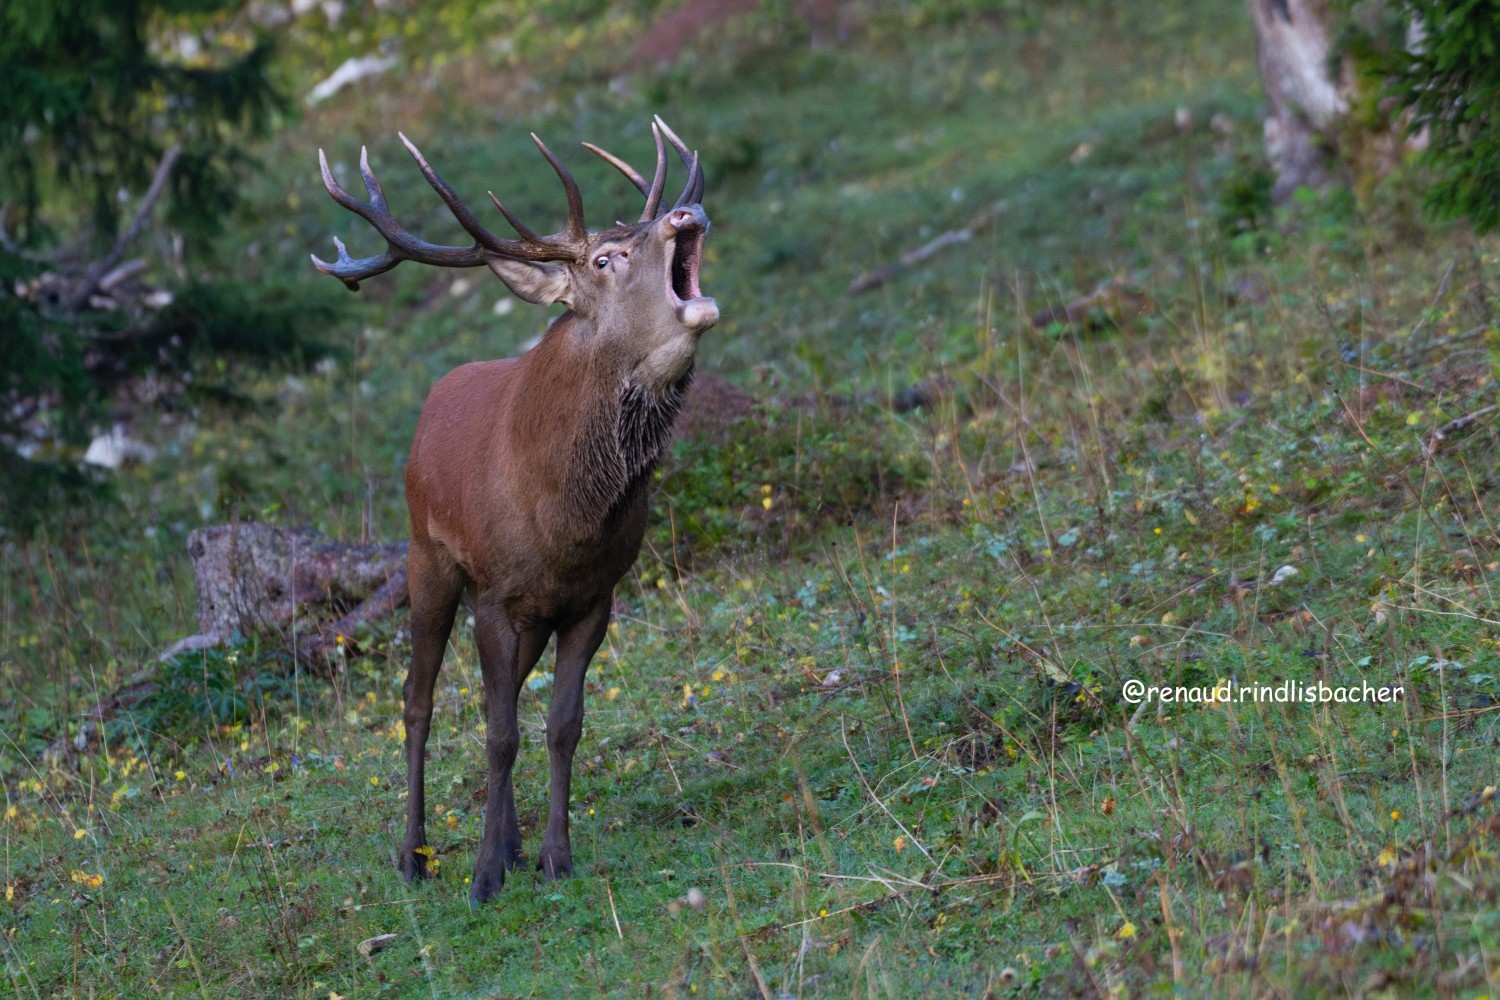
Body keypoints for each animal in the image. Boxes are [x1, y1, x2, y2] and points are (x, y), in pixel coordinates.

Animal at [310, 118, 718, 905]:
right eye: (606, 257)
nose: (687, 214)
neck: (566, 520)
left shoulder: (594, 597)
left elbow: (560, 724)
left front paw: (554, 854)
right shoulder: (495, 593)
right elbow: (499, 734)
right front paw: (484, 875)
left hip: (520, 610)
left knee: (503, 699)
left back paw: (512, 841)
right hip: (428, 560)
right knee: (419, 701)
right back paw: (415, 854)